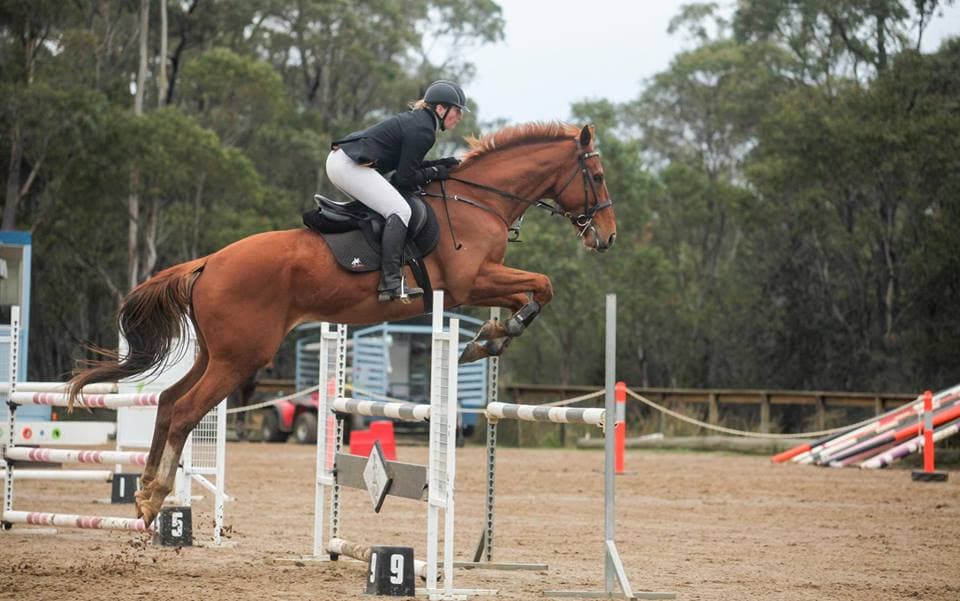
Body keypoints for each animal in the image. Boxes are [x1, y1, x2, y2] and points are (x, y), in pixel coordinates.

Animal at [67, 121, 616, 526]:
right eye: (597, 174)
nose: (607, 237)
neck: (478, 200)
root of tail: (208, 263)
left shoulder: (479, 284)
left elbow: (535, 289)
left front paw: (490, 337)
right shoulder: (470, 282)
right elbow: (543, 285)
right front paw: (490, 338)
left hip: (214, 353)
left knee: (166, 402)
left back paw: (145, 494)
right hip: (240, 357)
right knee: (184, 411)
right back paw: (157, 494)